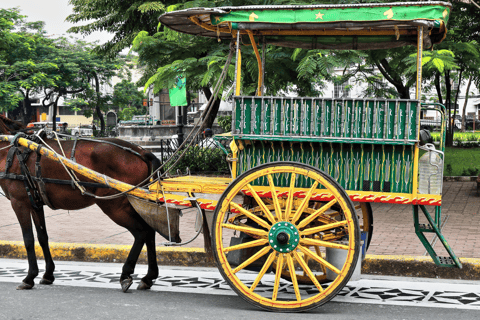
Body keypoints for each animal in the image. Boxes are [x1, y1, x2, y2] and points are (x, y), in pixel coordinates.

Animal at [0, 131, 180, 292]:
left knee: (141, 232)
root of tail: (141, 151)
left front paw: (29, 277)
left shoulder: (19, 203)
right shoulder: (35, 203)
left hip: (116, 205)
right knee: (149, 232)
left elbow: (28, 240)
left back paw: (126, 274)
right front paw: (48, 274)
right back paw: (148, 277)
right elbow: (42, 237)